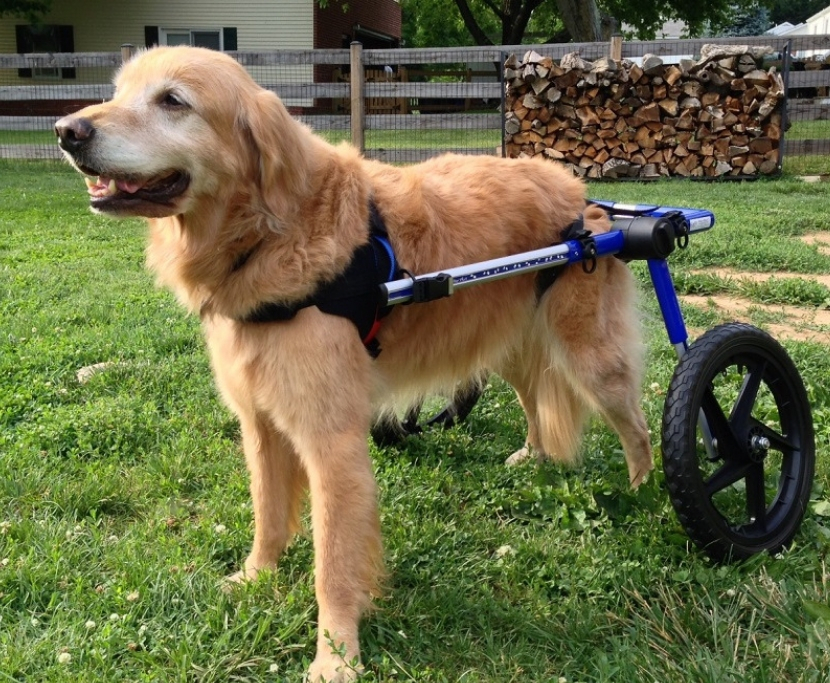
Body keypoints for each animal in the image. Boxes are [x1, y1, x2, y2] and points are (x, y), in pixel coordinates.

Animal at [57, 48, 656, 683]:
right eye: (120, 92)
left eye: (173, 101)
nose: (66, 131)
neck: (270, 236)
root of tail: (580, 193)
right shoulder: (260, 425)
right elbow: (268, 515)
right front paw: (256, 577)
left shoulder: (332, 443)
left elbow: (333, 566)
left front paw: (336, 656)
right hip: (512, 346)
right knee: (536, 402)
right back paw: (534, 455)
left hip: (591, 360)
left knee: (638, 429)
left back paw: (644, 493)